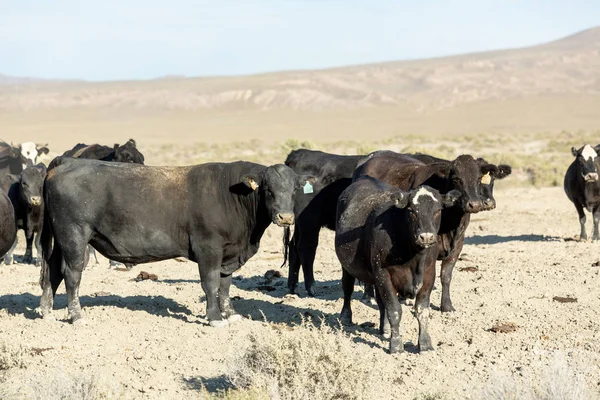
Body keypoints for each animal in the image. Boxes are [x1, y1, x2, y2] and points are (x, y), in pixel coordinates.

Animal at [39, 158, 316, 326]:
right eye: (268, 190)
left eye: (294, 190)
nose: (285, 217)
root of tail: (66, 162)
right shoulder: (208, 249)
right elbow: (211, 284)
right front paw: (214, 317)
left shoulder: (228, 253)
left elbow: (226, 285)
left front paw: (230, 314)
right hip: (74, 236)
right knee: (72, 274)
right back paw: (76, 315)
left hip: (61, 240)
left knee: (53, 271)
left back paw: (46, 311)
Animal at [282, 148, 364, 296]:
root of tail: (299, 153)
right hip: (309, 220)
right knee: (306, 247)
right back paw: (311, 287)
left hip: (300, 223)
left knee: (293, 246)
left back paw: (292, 286)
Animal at [354, 150, 512, 312]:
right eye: (457, 179)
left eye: (479, 178)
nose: (474, 204)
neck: (452, 221)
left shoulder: (458, 244)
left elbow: (446, 275)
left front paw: (447, 306)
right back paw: (368, 295)